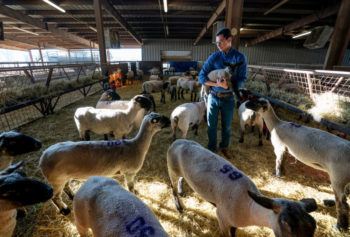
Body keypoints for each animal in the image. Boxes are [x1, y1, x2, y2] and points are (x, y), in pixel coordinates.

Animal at [167, 139, 318, 237]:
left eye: (313, 225)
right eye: (285, 223)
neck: (250, 207)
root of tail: (177, 141)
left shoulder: (233, 222)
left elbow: (234, 233)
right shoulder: (222, 218)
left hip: (182, 172)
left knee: (182, 179)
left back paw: (181, 192)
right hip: (172, 170)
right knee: (172, 188)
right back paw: (179, 208)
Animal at [245, 97, 350, 231]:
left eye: (256, 103)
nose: (246, 104)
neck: (276, 125)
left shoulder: (279, 146)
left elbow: (278, 160)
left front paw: (277, 174)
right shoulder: (285, 148)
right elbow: (283, 160)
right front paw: (282, 173)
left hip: (338, 177)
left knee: (342, 204)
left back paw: (339, 226)